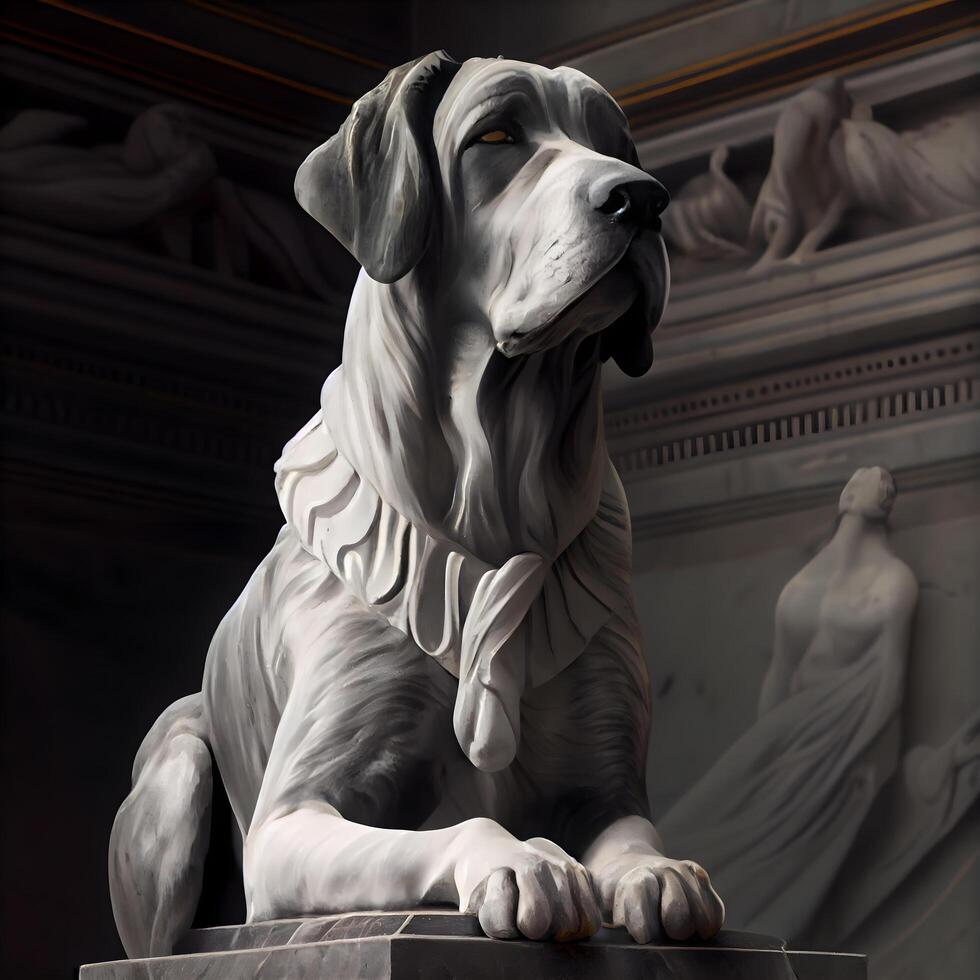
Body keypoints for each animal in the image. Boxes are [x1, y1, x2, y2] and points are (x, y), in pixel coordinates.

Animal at [111, 51, 728, 956]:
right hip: (181, 761)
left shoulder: (610, 787)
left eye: (618, 145)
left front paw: (660, 874)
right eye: (497, 136)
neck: (496, 491)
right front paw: (527, 860)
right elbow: (461, 827)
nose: (643, 198)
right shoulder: (289, 824)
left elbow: (633, 840)